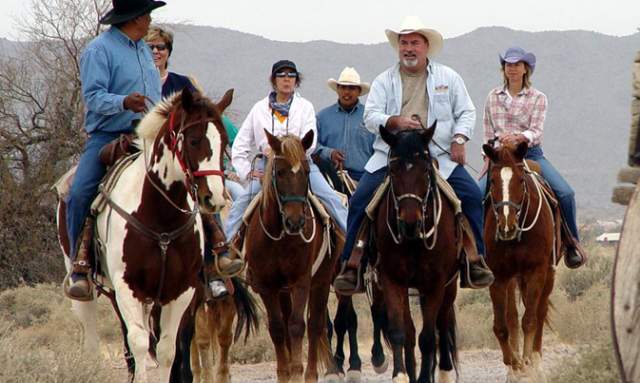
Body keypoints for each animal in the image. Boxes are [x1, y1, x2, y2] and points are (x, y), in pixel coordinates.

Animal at [57, 88, 232, 383]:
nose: (215, 197)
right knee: (94, 330)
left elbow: (168, 349)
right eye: (194, 140)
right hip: (89, 284)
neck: (161, 218)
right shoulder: (128, 287)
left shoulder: (182, 290)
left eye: (225, 142)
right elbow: (139, 342)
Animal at [364, 127, 460, 383]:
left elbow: (428, 337)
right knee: (409, 330)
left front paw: (426, 377)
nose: (409, 223)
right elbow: (400, 332)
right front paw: (401, 375)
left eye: (425, 170)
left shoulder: (436, 283)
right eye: (392, 170)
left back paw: (445, 371)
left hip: (450, 285)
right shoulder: (391, 280)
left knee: (442, 323)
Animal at [484, 142, 560, 382]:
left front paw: (527, 362)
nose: (506, 226)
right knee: (512, 316)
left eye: (520, 180)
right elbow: (502, 325)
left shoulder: (536, 271)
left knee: (540, 312)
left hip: (548, 274)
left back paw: (536, 363)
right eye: (492, 181)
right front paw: (514, 364)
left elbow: (530, 320)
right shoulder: (499, 276)